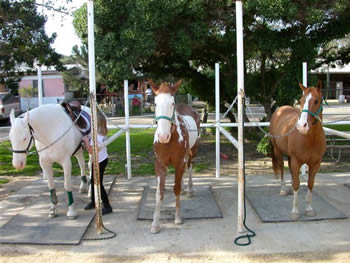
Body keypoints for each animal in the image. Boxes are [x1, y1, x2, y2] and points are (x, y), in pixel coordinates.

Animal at [149, 79, 201, 234]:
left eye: (172, 103)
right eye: (155, 103)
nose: (163, 136)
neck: (171, 139)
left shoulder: (180, 161)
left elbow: (176, 188)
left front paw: (178, 218)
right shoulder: (160, 164)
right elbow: (159, 192)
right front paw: (155, 223)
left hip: (192, 152)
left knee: (189, 168)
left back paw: (189, 190)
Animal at [270, 81, 326, 222]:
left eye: (316, 101)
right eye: (301, 100)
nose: (302, 126)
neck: (310, 138)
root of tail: (280, 109)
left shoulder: (315, 164)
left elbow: (310, 184)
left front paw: (309, 209)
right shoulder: (296, 161)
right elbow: (297, 184)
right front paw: (294, 212)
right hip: (278, 152)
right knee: (282, 168)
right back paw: (284, 189)